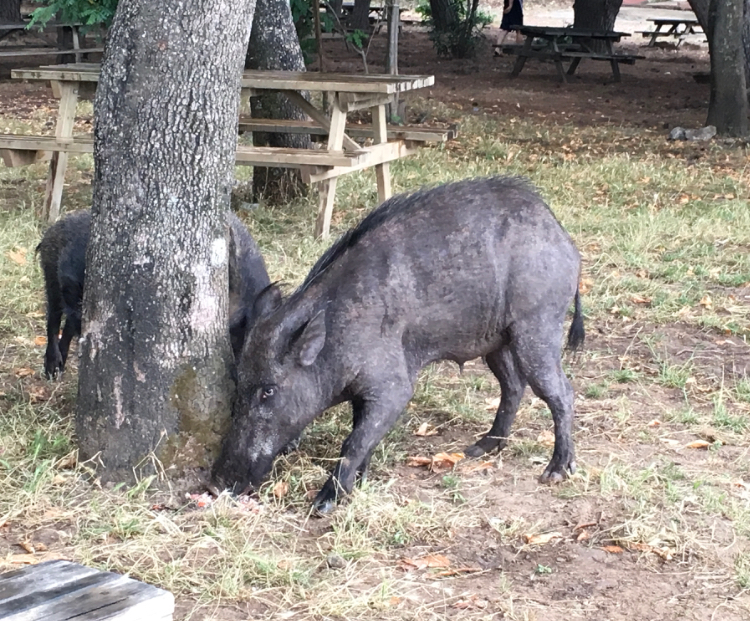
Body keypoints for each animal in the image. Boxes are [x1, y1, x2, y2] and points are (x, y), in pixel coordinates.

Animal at [212, 176, 584, 514]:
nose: (219, 482)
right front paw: (358, 482)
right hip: (497, 341)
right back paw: (480, 449)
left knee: (561, 392)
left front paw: (323, 504)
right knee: (513, 386)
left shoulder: (393, 386)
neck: (338, 333)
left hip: (536, 328)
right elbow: (363, 434)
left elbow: (355, 440)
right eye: (238, 383)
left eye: (268, 391)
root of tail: (565, 240)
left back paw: (555, 471)